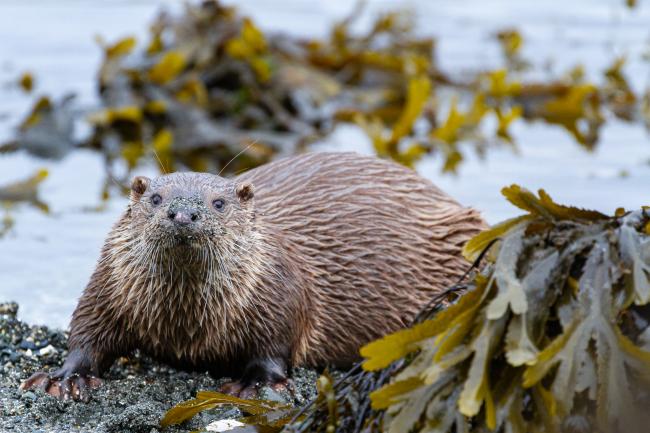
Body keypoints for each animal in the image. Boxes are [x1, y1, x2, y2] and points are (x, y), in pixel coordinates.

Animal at [21, 152, 485, 401]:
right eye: (155, 197)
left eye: (219, 202)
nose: (183, 214)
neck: (184, 322)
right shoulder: (109, 284)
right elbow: (87, 329)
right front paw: (66, 377)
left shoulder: (278, 291)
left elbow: (275, 345)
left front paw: (251, 385)